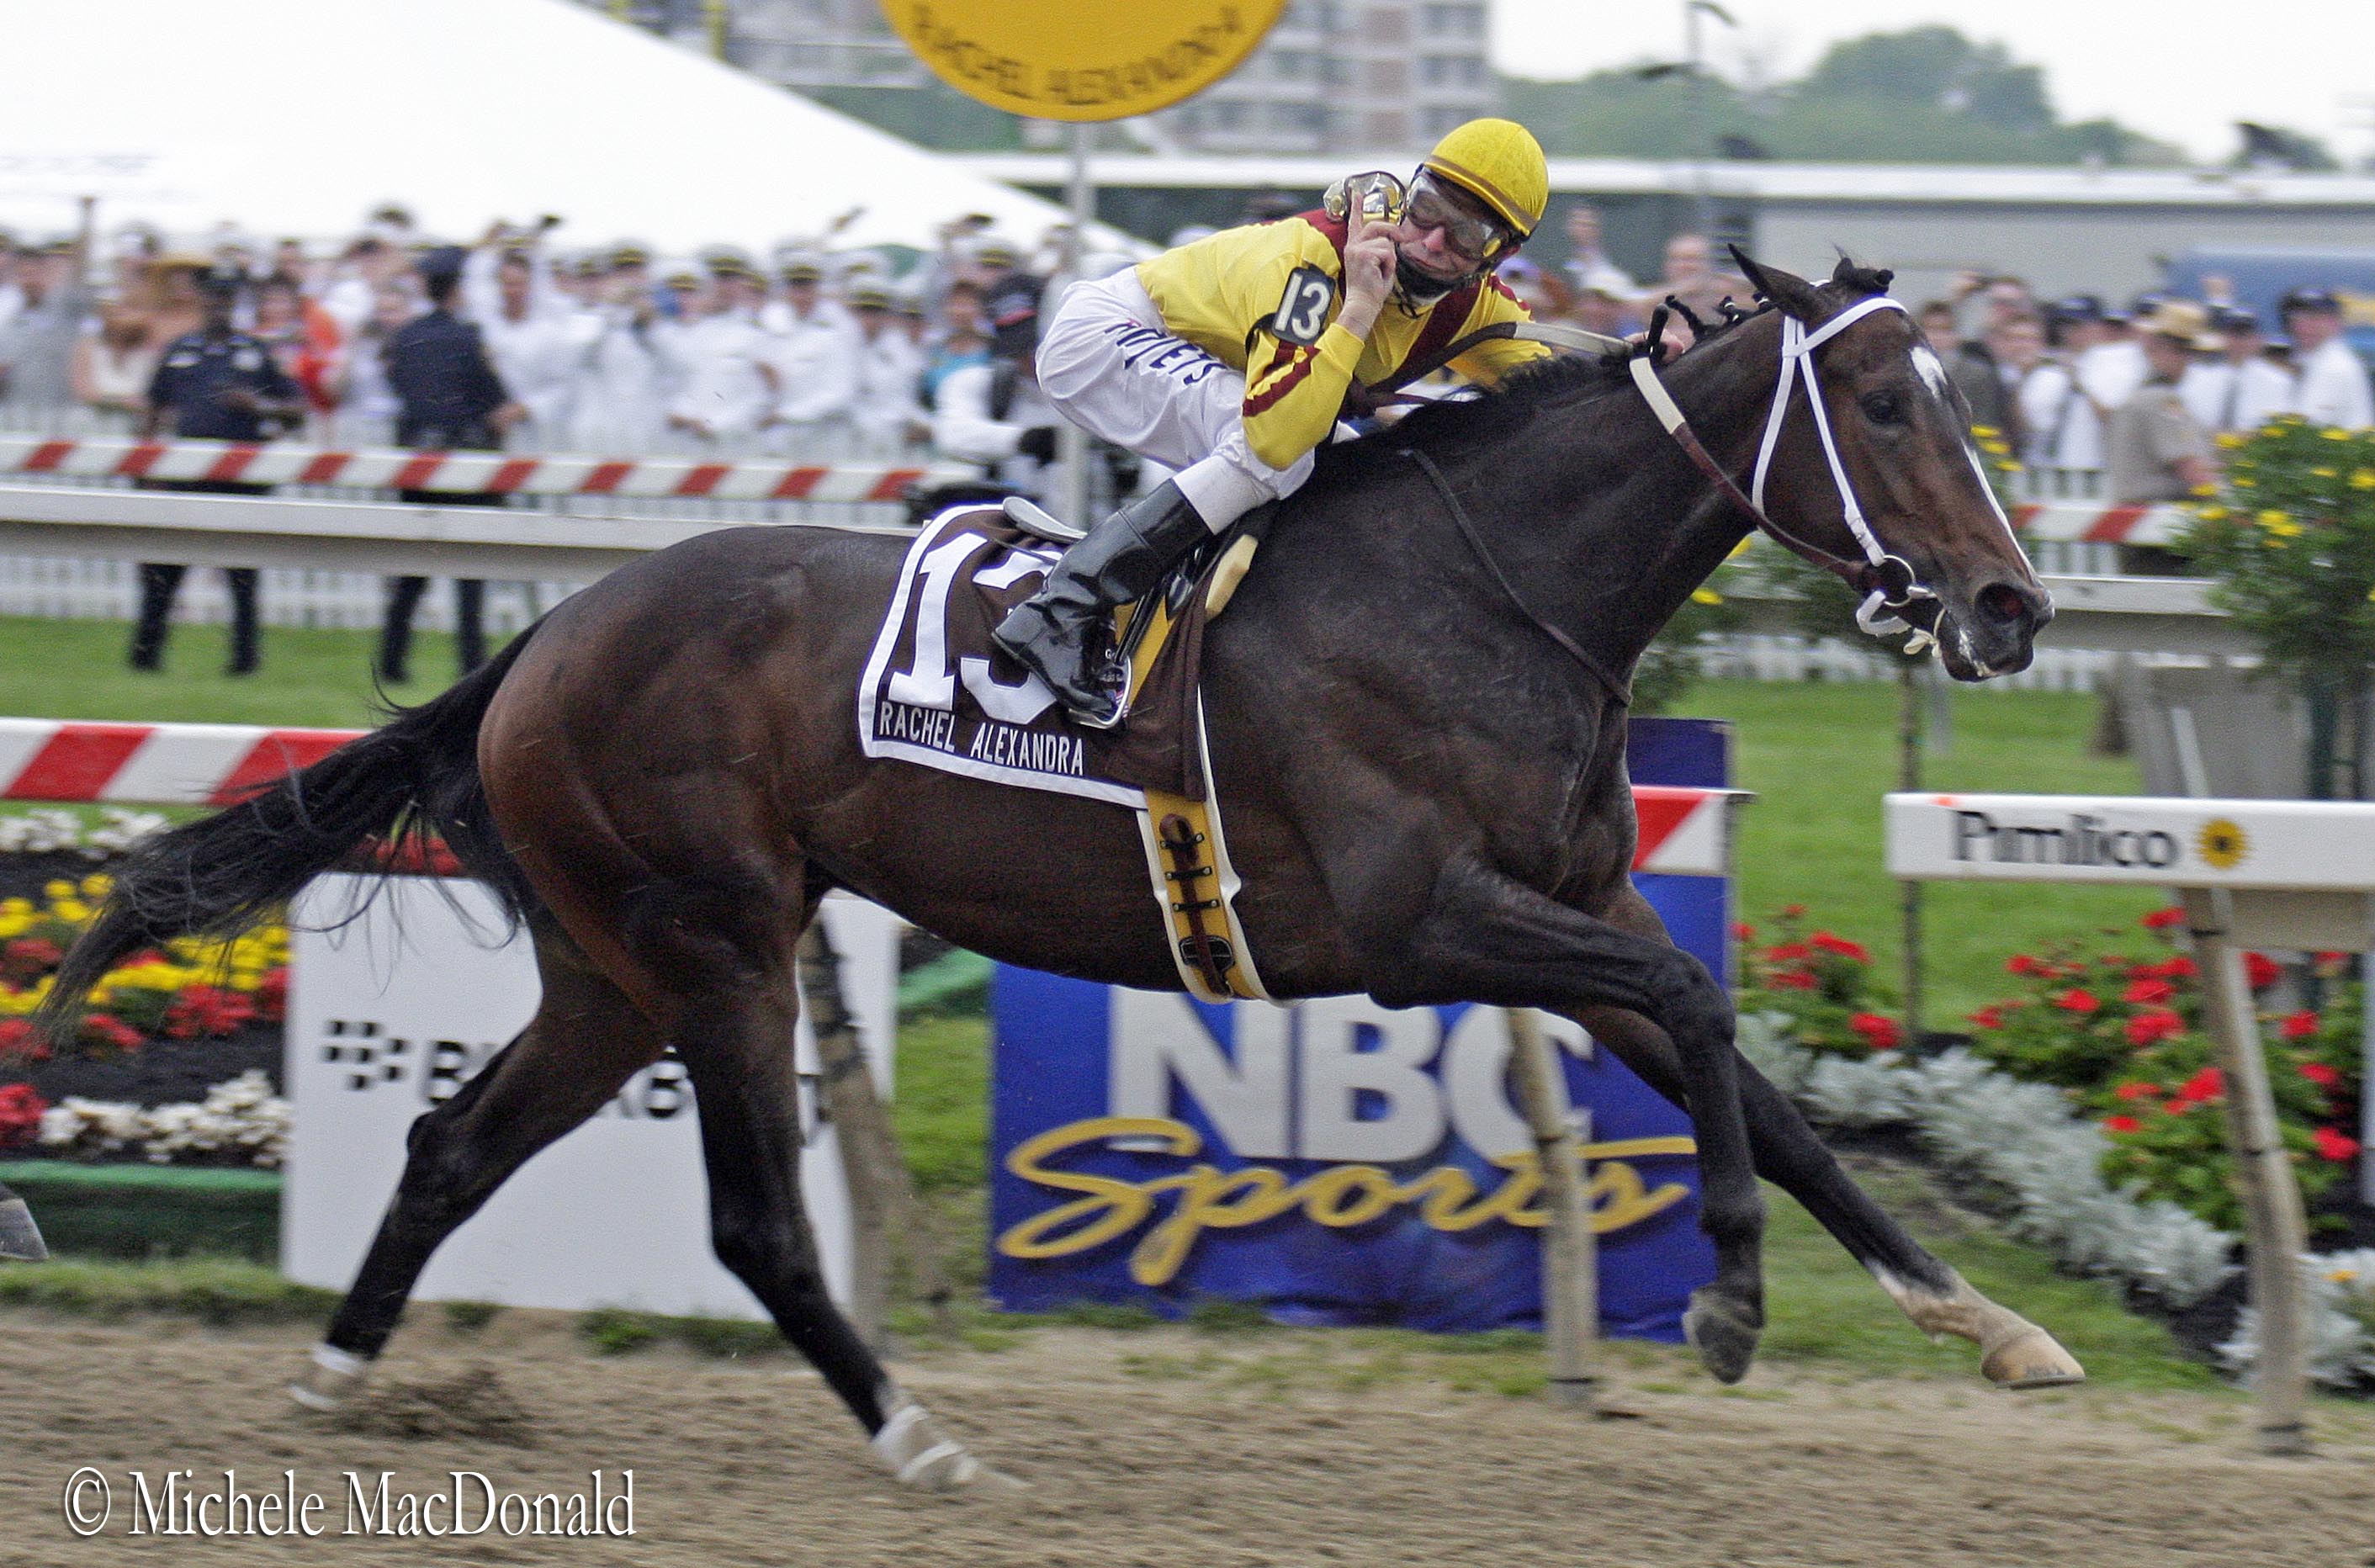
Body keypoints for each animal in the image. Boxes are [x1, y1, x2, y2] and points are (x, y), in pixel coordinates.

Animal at [37, 254, 2080, 1482]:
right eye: (1883, 406)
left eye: (1958, 393)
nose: (2009, 606)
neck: (1493, 588)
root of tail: (548, 633)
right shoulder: (1425, 925)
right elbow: (1689, 1011)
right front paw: (1726, 1303)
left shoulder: (1575, 900)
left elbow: (1748, 1069)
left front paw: (1984, 1321)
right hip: (714, 941)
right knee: (753, 1220)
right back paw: (918, 1434)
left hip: (610, 964)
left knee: (452, 1142)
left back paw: (335, 1376)